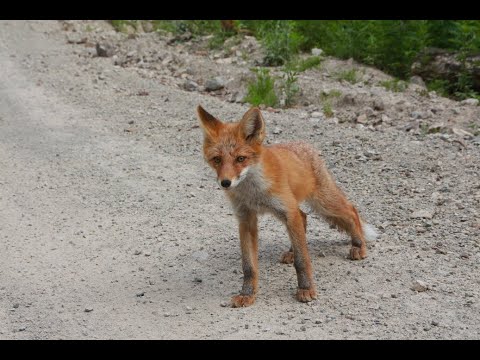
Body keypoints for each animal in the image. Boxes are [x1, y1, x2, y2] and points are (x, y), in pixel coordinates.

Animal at [197, 104, 376, 306]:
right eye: (217, 159)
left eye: (240, 159)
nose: (225, 183)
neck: (253, 192)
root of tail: (304, 145)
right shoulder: (246, 218)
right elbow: (248, 266)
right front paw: (247, 294)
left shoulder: (287, 210)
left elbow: (302, 260)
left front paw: (305, 289)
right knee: (304, 217)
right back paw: (291, 251)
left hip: (322, 203)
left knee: (351, 210)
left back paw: (359, 245)